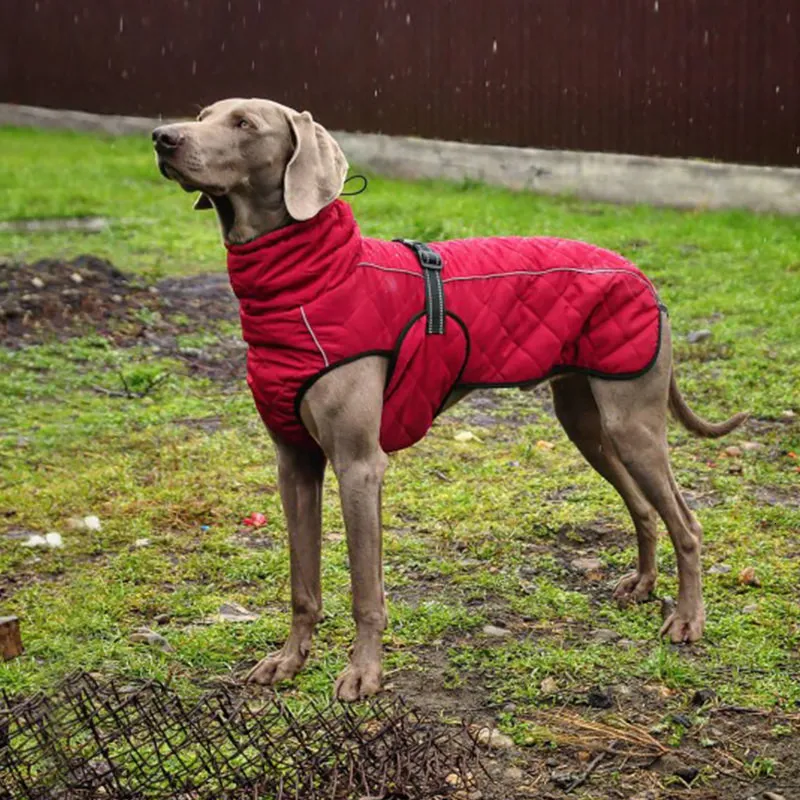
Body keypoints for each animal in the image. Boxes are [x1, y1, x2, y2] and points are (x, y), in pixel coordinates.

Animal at [153, 98, 748, 700]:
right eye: (203, 115)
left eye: (244, 124)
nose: (162, 137)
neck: (311, 285)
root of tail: (642, 274)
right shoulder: (294, 463)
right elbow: (303, 584)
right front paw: (289, 661)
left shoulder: (359, 465)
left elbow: (365, 590)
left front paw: (364, 672)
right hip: (587, 423)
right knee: (644, 508)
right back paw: (645, 585)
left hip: (633, 424)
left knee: (687, 524)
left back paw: (687, 620)